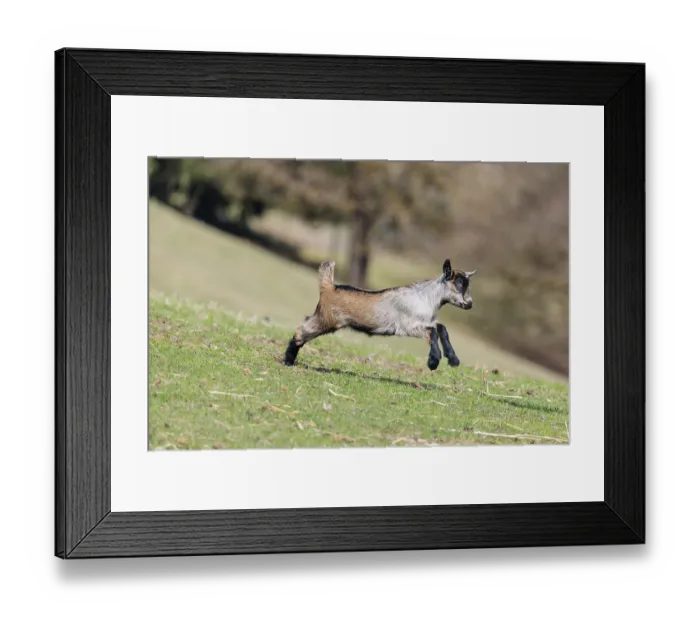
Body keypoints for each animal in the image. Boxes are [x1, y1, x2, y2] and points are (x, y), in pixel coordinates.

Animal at [283, 259, 476, 370]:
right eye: (459, 284)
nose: (470, 304)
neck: (426, 298)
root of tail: (330, 287)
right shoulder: (407, 326)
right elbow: (433, 332)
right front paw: (433, 362)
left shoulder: (428, 321)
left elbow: (442, 328)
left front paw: (453, 359)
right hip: (326, 318)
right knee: (301, 330)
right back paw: (287, 361)